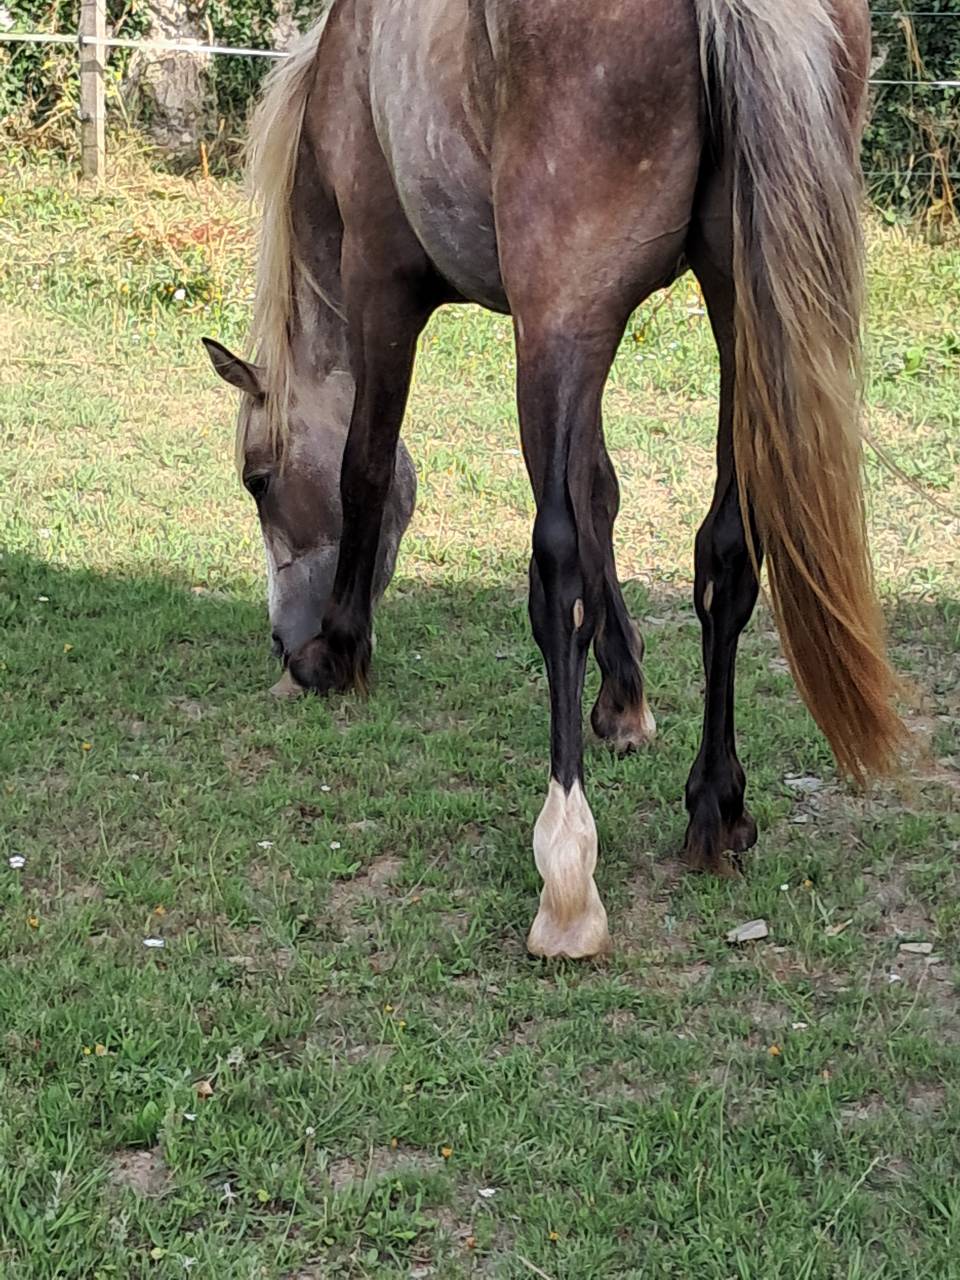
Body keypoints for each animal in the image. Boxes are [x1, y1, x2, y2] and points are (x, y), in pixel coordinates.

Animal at [204, 0, 905, 959]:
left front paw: (339, 652)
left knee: (557, 574)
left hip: (563, 319)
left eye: (258, 480)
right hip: (732, 308)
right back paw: (714, 808)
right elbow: (600, 489)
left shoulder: (387, 289)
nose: (286, 639)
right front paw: (625, 698)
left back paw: (567, 872)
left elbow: (367, 466)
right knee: (726, 554)